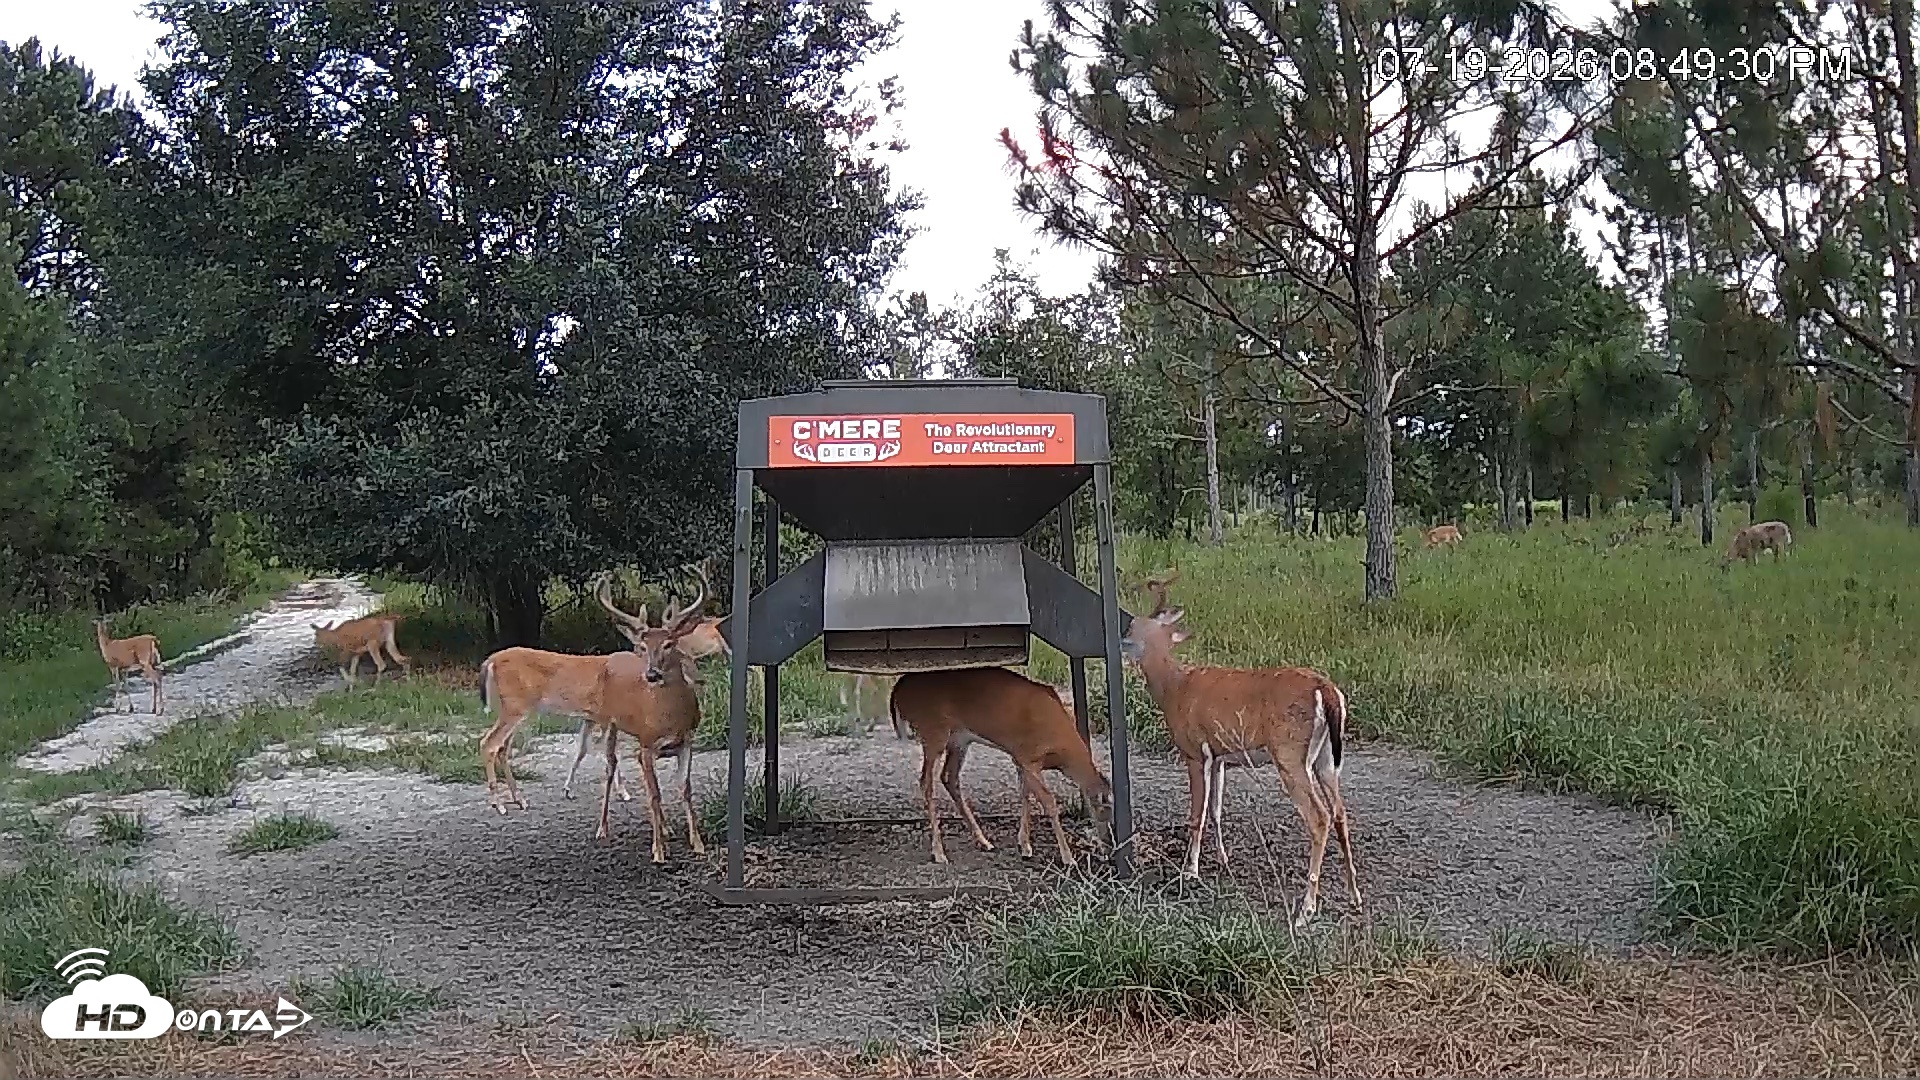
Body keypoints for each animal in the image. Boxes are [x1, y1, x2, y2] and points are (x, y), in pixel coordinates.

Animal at [589, 570, 712, 863]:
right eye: (644, 647)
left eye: (669, 644)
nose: (652, 674)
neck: (670, 718)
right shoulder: (647, 742)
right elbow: (655, 794)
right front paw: (658, 851)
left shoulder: (686, 741)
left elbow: (685, 788)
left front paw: (697, 843)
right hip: (608, 721)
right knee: (610, 766)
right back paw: (602, 828)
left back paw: (665, 827)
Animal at [888, 666, 1113, 867]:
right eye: (1107, 811)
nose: (1110, 846)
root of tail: (898, 690)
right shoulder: (1028, 756)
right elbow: (1048, 802)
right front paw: (1068, 858)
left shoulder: (1019, 758)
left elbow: (1025, 794)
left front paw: (1025, 845)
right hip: (933, 730)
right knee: (926, 782)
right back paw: (939, 852)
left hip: (959, 739)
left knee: (949, 777)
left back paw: (983, 841)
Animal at [1121, 570, 1361, 925]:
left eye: (1133, 626)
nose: (1119, 640)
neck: (1173, 688)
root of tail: (1326, 690)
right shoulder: (1220, 755)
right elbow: (1216, 809)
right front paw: (1223, 860)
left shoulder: (1194, 750)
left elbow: (1197, 814)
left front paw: (1189, 871)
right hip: (1326, 757)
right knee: (1341, 812)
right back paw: (1355, 896)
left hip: (1290, 753)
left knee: (1320, 818)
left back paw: (1306, 908)